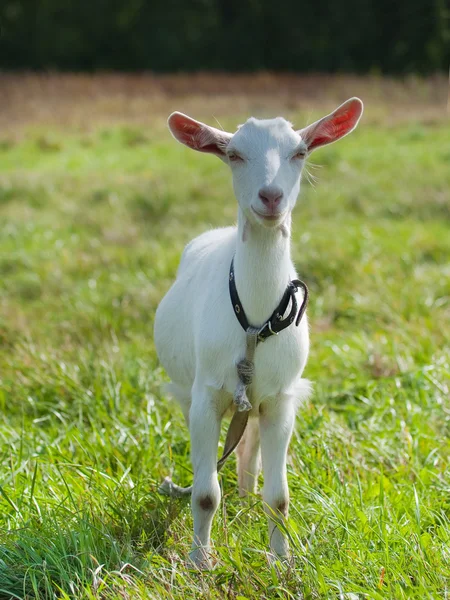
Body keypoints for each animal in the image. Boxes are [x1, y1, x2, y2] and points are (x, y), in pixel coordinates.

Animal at [154, 98, 362, 568]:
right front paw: (199, 562)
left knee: (247, 449)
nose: (270, 197)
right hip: (189, 391)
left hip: (255, 397)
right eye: (234, 154)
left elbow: (279, 497)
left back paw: (247, 501)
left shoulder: (281, 399)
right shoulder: (206, 395)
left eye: (300, 152)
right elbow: (205, 494)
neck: (253, 318)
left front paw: (281, 563)